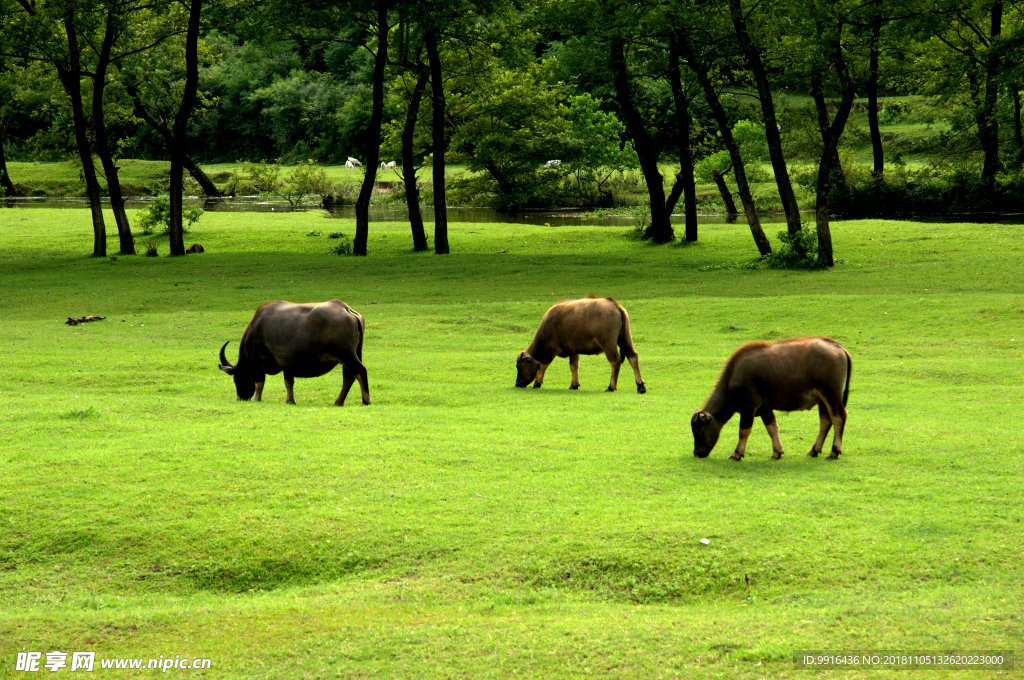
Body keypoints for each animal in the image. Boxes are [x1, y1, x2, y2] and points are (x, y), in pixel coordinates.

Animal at [218, 296, 370, 403]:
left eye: (236, 378)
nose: (241, 397)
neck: (256, 329)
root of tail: (345, 308)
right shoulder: (287, 363)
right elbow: (289, 382)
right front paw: (290, 400)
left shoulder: (258, 362)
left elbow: (259, 383)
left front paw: (257, 399)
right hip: (354, 353)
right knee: (349, 376)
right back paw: (338, 402)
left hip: (346, 354)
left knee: (359, 371)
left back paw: (365, 401)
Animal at [692, 340, 851, 462]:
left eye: (698, 430)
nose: (697, 453)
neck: (733, 377)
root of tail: (837, 347)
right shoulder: (765, 409)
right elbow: (772, 428)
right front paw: (776, 452)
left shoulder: (748, 409)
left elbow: (744, 431)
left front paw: (737, 454)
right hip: (822, 400)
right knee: (825, 421)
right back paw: (814, 450)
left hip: (831, 395)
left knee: (839, 417)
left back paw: (834, 452)